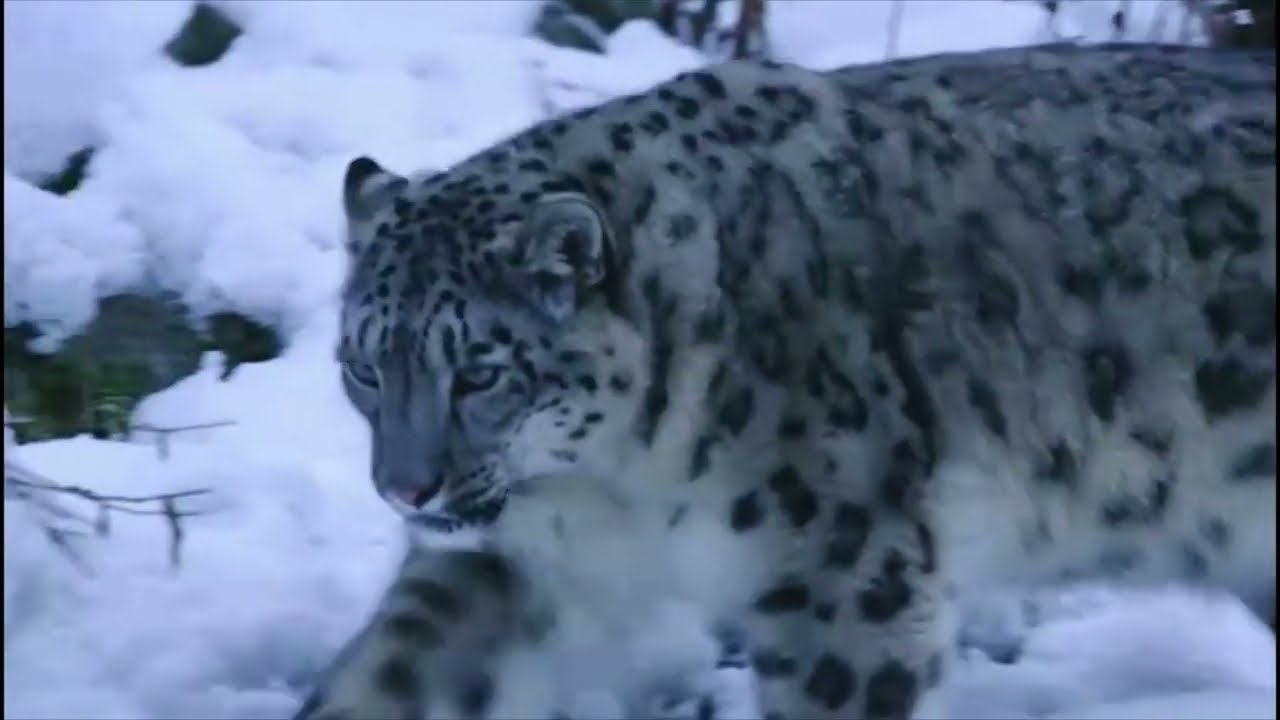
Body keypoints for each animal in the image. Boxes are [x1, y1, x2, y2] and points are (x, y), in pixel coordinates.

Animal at [299, 42, 1275, 720]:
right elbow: (396, 667)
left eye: (479, 372)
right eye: (362, 367)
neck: (610, 486)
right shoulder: (514, 558)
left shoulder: (839, 573)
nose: (406, 489)